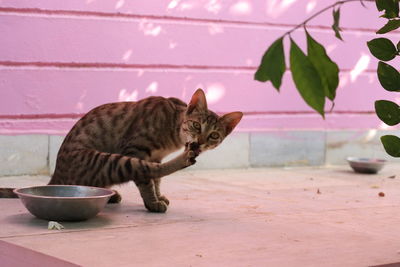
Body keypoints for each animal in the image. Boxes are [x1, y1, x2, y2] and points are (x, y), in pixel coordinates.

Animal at [0, 90, 242, 214]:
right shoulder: (137, 150)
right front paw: (152, 202)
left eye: (213, 135)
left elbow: (156, 180)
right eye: (196, 125)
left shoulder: (155, 156)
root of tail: (56, 177)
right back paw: (184, 159)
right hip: (108, 160)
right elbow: (147, 179)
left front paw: (158, 195)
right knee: (144, 170)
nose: (199, 143)